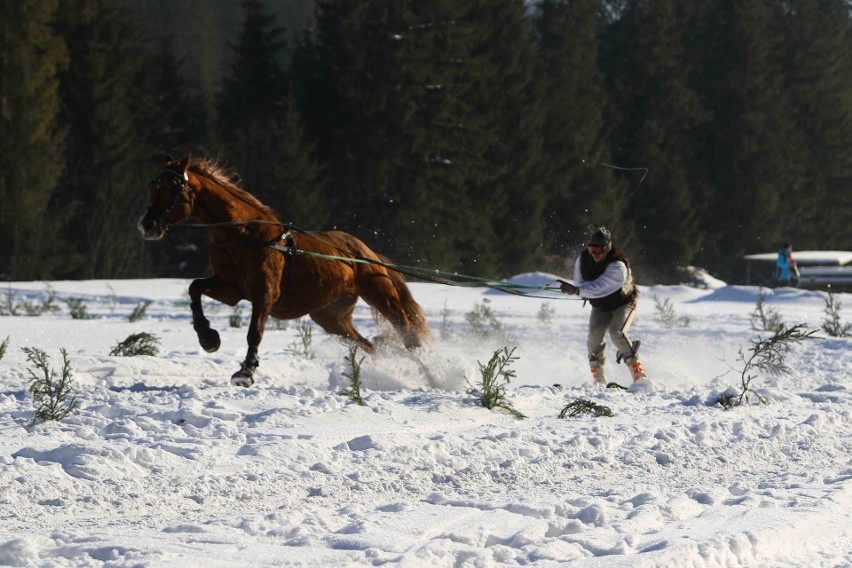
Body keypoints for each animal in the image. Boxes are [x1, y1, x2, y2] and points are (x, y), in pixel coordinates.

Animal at [141, 154, 432, 386]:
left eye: (172, 187)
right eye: (153, 185)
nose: (147, 225)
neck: (244, 233)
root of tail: (365, 252)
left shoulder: (265, 294)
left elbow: (254, 332)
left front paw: (246, 372)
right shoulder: (232, 288)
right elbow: (195, 287)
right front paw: (207, 337)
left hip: (381, 295)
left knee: (410, 338)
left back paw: (432, 376)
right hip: (330, 316)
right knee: (368, 345)